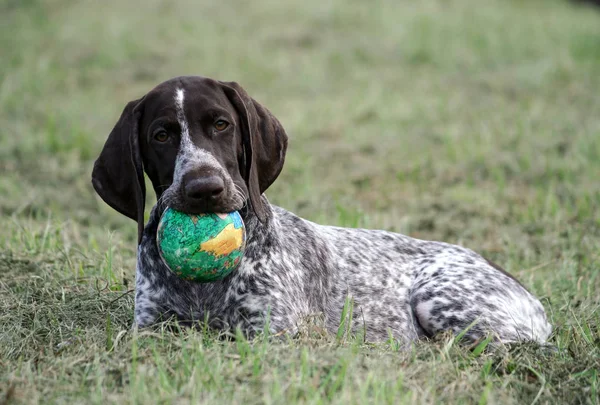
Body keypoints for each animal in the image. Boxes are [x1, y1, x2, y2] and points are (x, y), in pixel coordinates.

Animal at [91, 76, 552, 344]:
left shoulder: (273, 333)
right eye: (162, 135)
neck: (204, 288)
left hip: (439, 298)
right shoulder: (150, 327)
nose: (205, 188)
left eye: (221, 124)